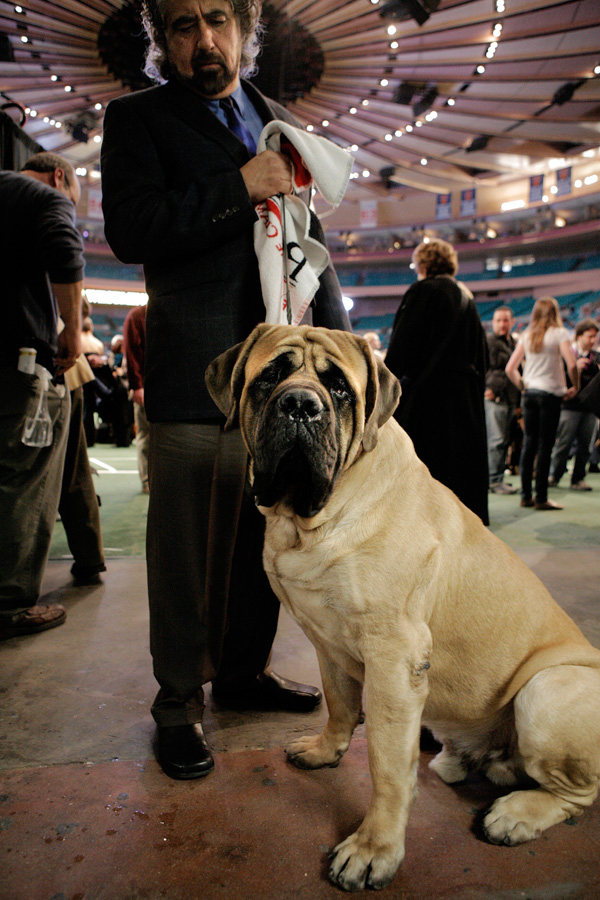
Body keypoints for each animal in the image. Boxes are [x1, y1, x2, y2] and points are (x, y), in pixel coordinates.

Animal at [204, 326, 596, 892]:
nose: (300, 404)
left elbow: (387, 765)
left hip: (548, 689)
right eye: (270, 376)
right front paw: (325, 750)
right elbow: (340, 705)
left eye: (339, 389)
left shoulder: (394, 657)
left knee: (577, 795)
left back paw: (515, 814)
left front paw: (375, 849)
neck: (310, 519)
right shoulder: (328, 641)